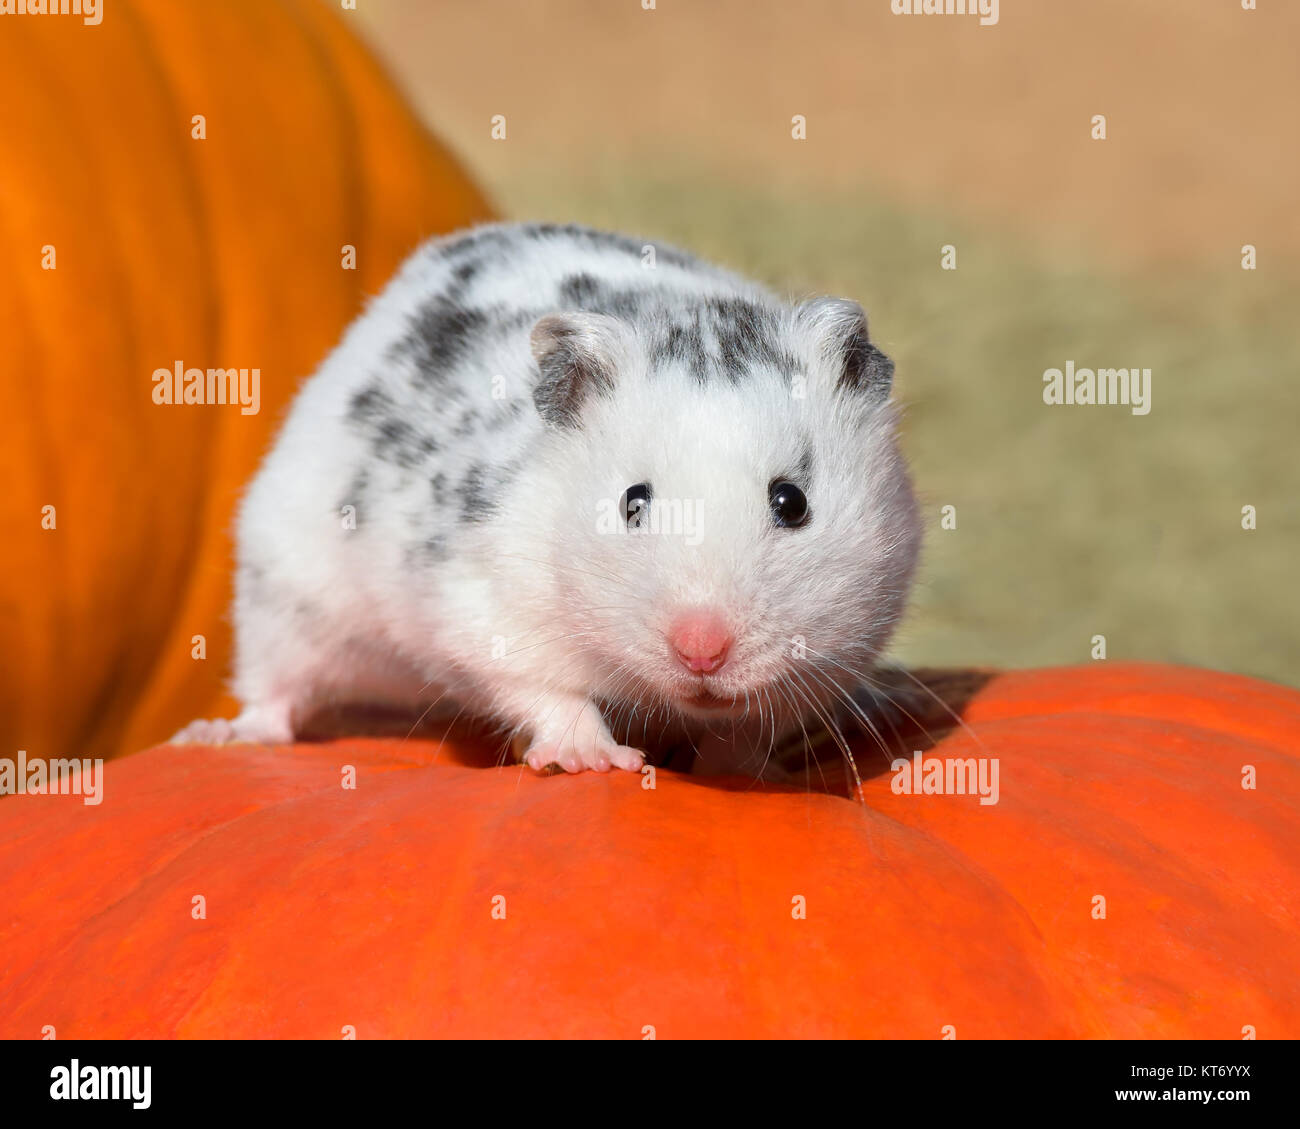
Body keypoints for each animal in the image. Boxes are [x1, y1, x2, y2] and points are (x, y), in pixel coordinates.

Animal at [175, 221, 925, 775]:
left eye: (792, 502)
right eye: (632, 502)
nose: (702, 653)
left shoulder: (843, 646)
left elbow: (747, 734)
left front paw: (742, 772)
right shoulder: (484, 612)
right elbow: (548, 691)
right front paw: (594, 760)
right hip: (284, 588)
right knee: (273, 691)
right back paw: (216, 736)